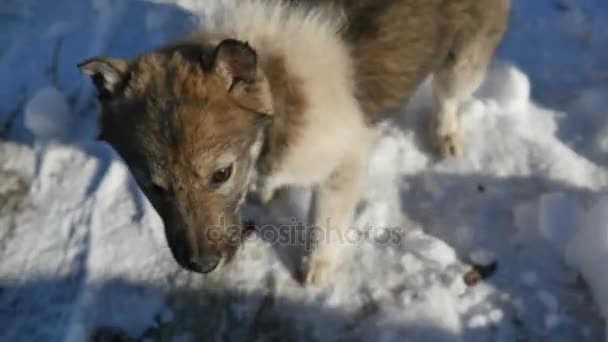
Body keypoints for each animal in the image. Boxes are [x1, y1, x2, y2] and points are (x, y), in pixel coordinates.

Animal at [78, 0, 510, 284]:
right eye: (153, 185)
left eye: (222, 174)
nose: (202, 266)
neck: (275, 85)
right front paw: (266, 190)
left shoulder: (344, 163)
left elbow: (325, 222)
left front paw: (317, 268)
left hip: (463, 60)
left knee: (448, 97)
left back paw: (446, 135)